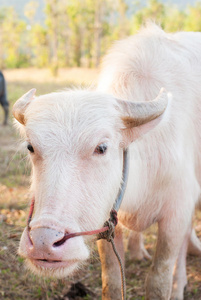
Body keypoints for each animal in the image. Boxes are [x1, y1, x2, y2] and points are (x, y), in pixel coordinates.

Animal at [12, 24, 201, 300]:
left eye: (101, 148)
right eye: (31, 147)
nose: (44, 241)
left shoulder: (177, 213)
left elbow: (159, 279)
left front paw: (172, 285)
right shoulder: (109, 223)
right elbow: (110, 281)